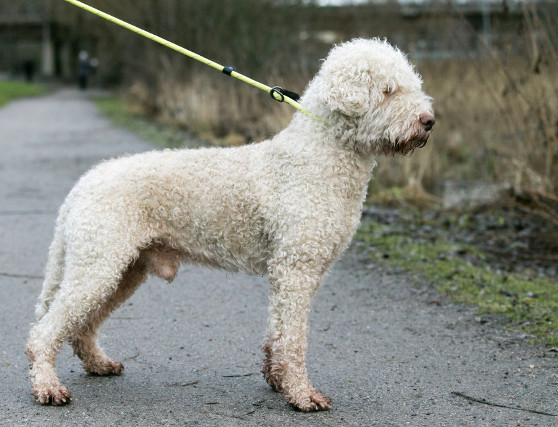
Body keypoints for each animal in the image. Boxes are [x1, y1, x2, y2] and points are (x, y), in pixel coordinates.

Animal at [27, 38, 438, 412]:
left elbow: (277, 330)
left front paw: (277, 379)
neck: (319, 156)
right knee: (44, 332)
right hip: (98, 265)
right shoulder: (296, 268)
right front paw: (302, 395)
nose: (429, 122)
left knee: (81, 327)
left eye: (412, 84)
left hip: (123, 270)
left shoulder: (293, 271)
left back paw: (99, 364)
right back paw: (48, 387)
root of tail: (83, 184)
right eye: (388, 90)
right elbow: (294, 339)